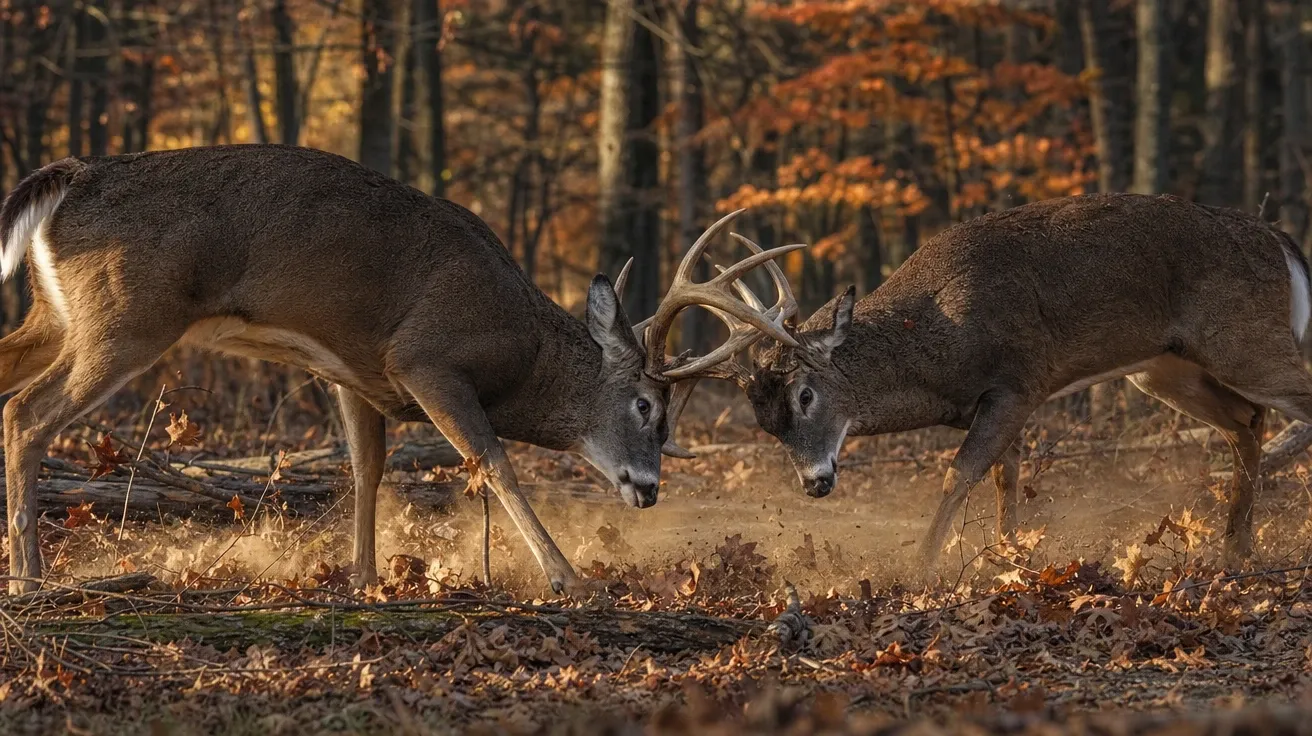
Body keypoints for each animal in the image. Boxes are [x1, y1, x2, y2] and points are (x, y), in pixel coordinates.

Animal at [0, 144, 804, 595]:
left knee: (11, 389)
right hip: (126, 318)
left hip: (58, 315)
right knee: (27, 415)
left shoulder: (356, 374)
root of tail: (71, 177)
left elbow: (366, 471)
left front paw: (362, 578)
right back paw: (31, 575)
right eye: (646, 406)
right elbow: (493, 462)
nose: (648, 489)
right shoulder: (423, 358)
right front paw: (569, 578)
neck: (520, 353)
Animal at [709, 192, 1312, 575]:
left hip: (1244, 341)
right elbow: (1006, 478)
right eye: (767, 425)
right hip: (1164, 368)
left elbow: (959, 474)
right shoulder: (992, 403)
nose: (814, 483)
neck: (940, 346)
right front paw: (1011, 557)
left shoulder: (1020, 381)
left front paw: (919, 568)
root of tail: (1280, 240)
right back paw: (1235, 549)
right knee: (1246, 420)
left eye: (805, 395)